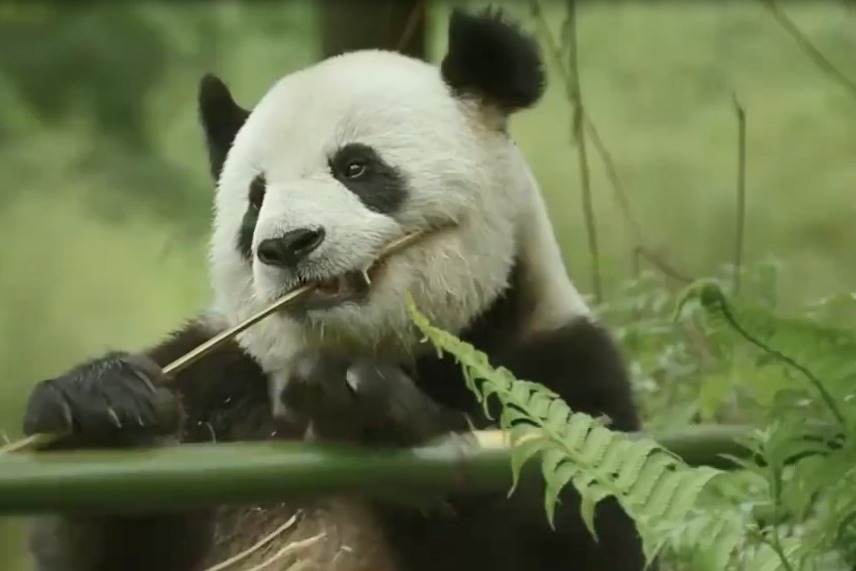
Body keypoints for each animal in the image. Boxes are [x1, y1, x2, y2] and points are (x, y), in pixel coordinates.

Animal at [20, 7, 648, 571]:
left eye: (356, 168)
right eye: (255, 199)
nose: (288, 245)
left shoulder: (561, 380)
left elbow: (578, 537)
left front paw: (368, 409)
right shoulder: (221, 383)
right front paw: (100, 404)